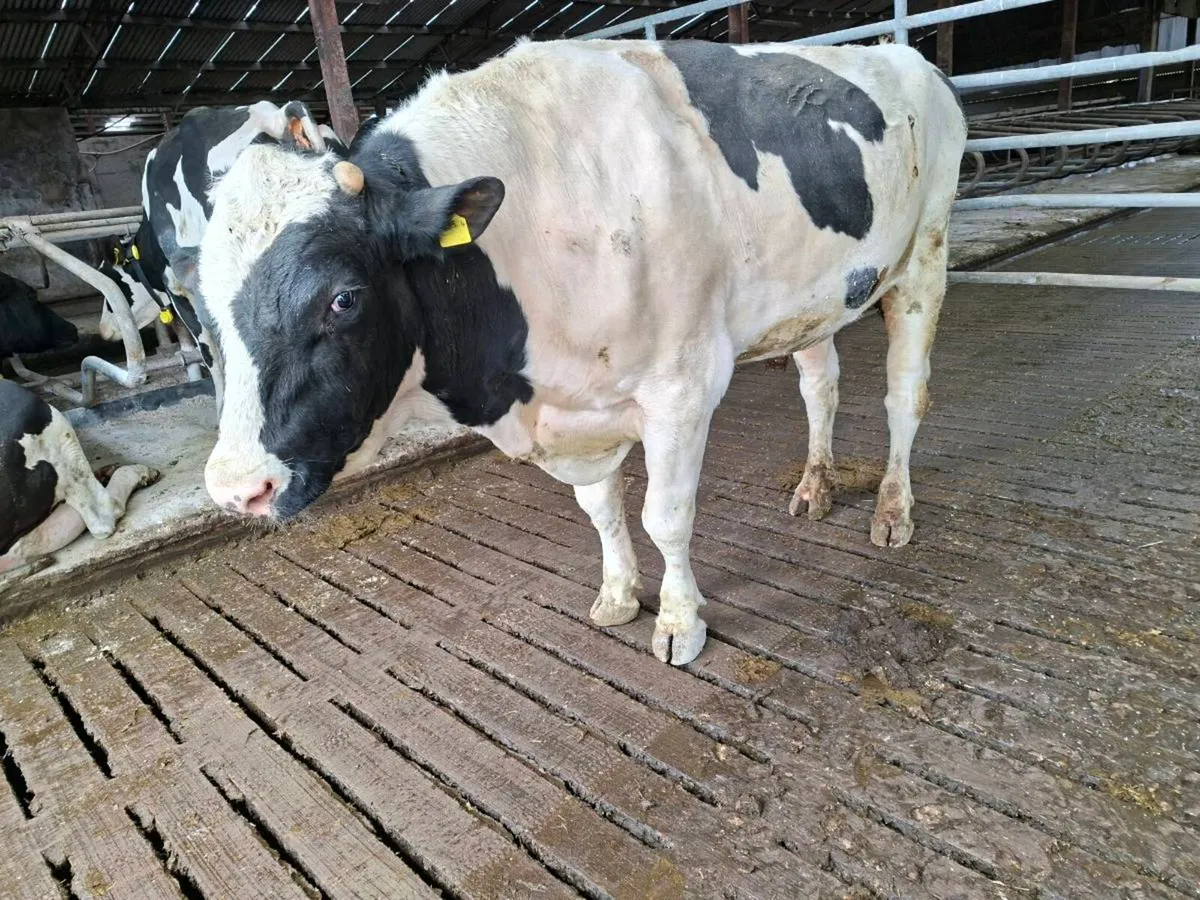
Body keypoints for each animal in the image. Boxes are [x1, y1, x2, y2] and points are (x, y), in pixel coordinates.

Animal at [185, 39, 967, 666]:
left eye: (343, 299)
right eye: (202, 309)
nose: (235, 489)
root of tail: (905, 52)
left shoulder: (681, 386)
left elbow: (664, 516)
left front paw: (679, 623)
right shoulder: (575, 405)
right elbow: (600, 509)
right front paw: (619, 593)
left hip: (924, 254)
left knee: (905, 393)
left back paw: (892, 511)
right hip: (817, 297)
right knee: (819, 384)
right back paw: (815, 485)